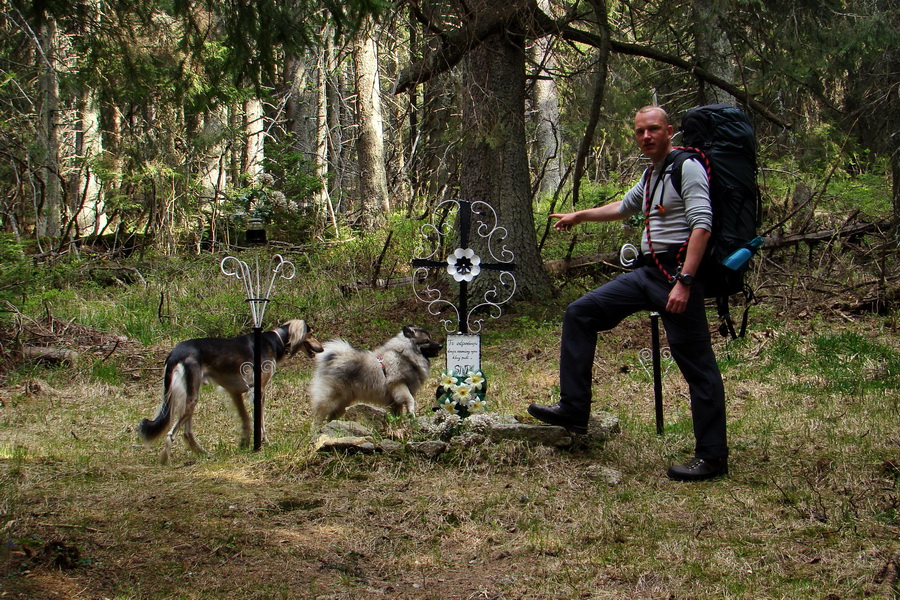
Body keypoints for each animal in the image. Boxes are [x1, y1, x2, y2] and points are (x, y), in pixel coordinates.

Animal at [137, 318, 324, 464]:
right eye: (311, 334)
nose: (321, 348)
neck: (276, 340)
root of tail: (174, 353)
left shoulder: (235, 392)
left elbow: (247, 421)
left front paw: (245, 443)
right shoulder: (259, 391)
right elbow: (261, 422)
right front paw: (264, 443)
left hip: (189, 396)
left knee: (186, 432)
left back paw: (203, 454)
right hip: (191, 396)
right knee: (171, 433)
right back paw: (166, 460)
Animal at [312, 326, 444, 424]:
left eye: (431, 338)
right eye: (426, 341)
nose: (441, 345)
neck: (404, 355)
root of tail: (334, 359)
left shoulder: (395, 399)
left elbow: (398, 411)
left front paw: (399, 422)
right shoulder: (399, 385)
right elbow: (410, 400)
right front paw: (412, 414)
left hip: (343, 402)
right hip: (331, 398)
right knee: (319, 415)